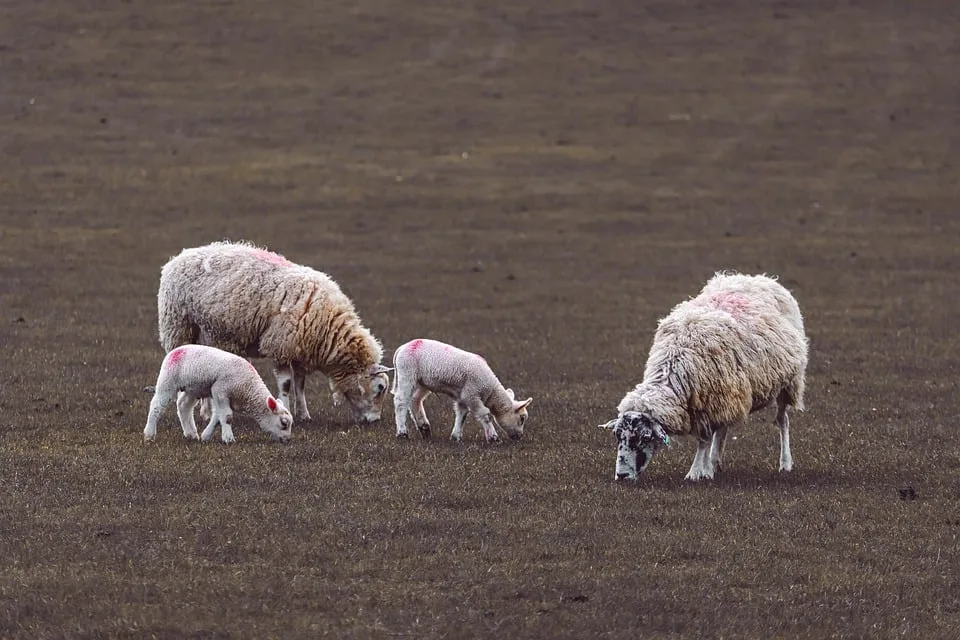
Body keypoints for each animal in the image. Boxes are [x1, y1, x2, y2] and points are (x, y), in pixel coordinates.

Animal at [142, 344, 292, 444]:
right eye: (284, 423)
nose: (287, 440)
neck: (248, 389)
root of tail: (175, 350)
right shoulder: (220, 390)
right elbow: (227, 417)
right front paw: (229, 439)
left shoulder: (223, 396)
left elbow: (217, 417)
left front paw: (206, 436)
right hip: (168, 380)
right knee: (156, 406)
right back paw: (149, 434)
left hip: (193, 388)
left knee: (183, 406)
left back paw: (191, 434)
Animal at [158, 240, 394, 424]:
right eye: (380, 387)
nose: (375, 421)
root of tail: (178, 257)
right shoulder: (281, 345)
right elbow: (287, 384)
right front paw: (287, 410)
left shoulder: (300, 349)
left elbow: (300, 384)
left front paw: (304, 414)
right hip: (179, 328)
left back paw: (207, 411)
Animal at [390, 338, 532, 442]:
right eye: (522, 418)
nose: (519, 437)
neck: (490, 389)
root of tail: (402, 348)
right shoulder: (471, 394)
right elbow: (485, 415)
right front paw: (493, 438)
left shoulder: (463, 397)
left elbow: (462, 415)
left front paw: (456, 437)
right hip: (407, 374)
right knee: (401, 401)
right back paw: (402, 433)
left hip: (422, 382)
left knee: (415, 400)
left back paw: (424, 428)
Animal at [600, 272, 808, 482]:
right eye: (617, 436)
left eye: (645, 437)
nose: (622, 475)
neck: (674, 362)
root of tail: (759, 278)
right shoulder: (712, 402)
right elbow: (708, 437)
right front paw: (705, 468)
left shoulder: (710, 403)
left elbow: (704, 440)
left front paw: (695, 472)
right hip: (730, 395)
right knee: (723, 429)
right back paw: (715, 462)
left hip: (788, 383)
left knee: (782, 421)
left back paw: (785, 463)